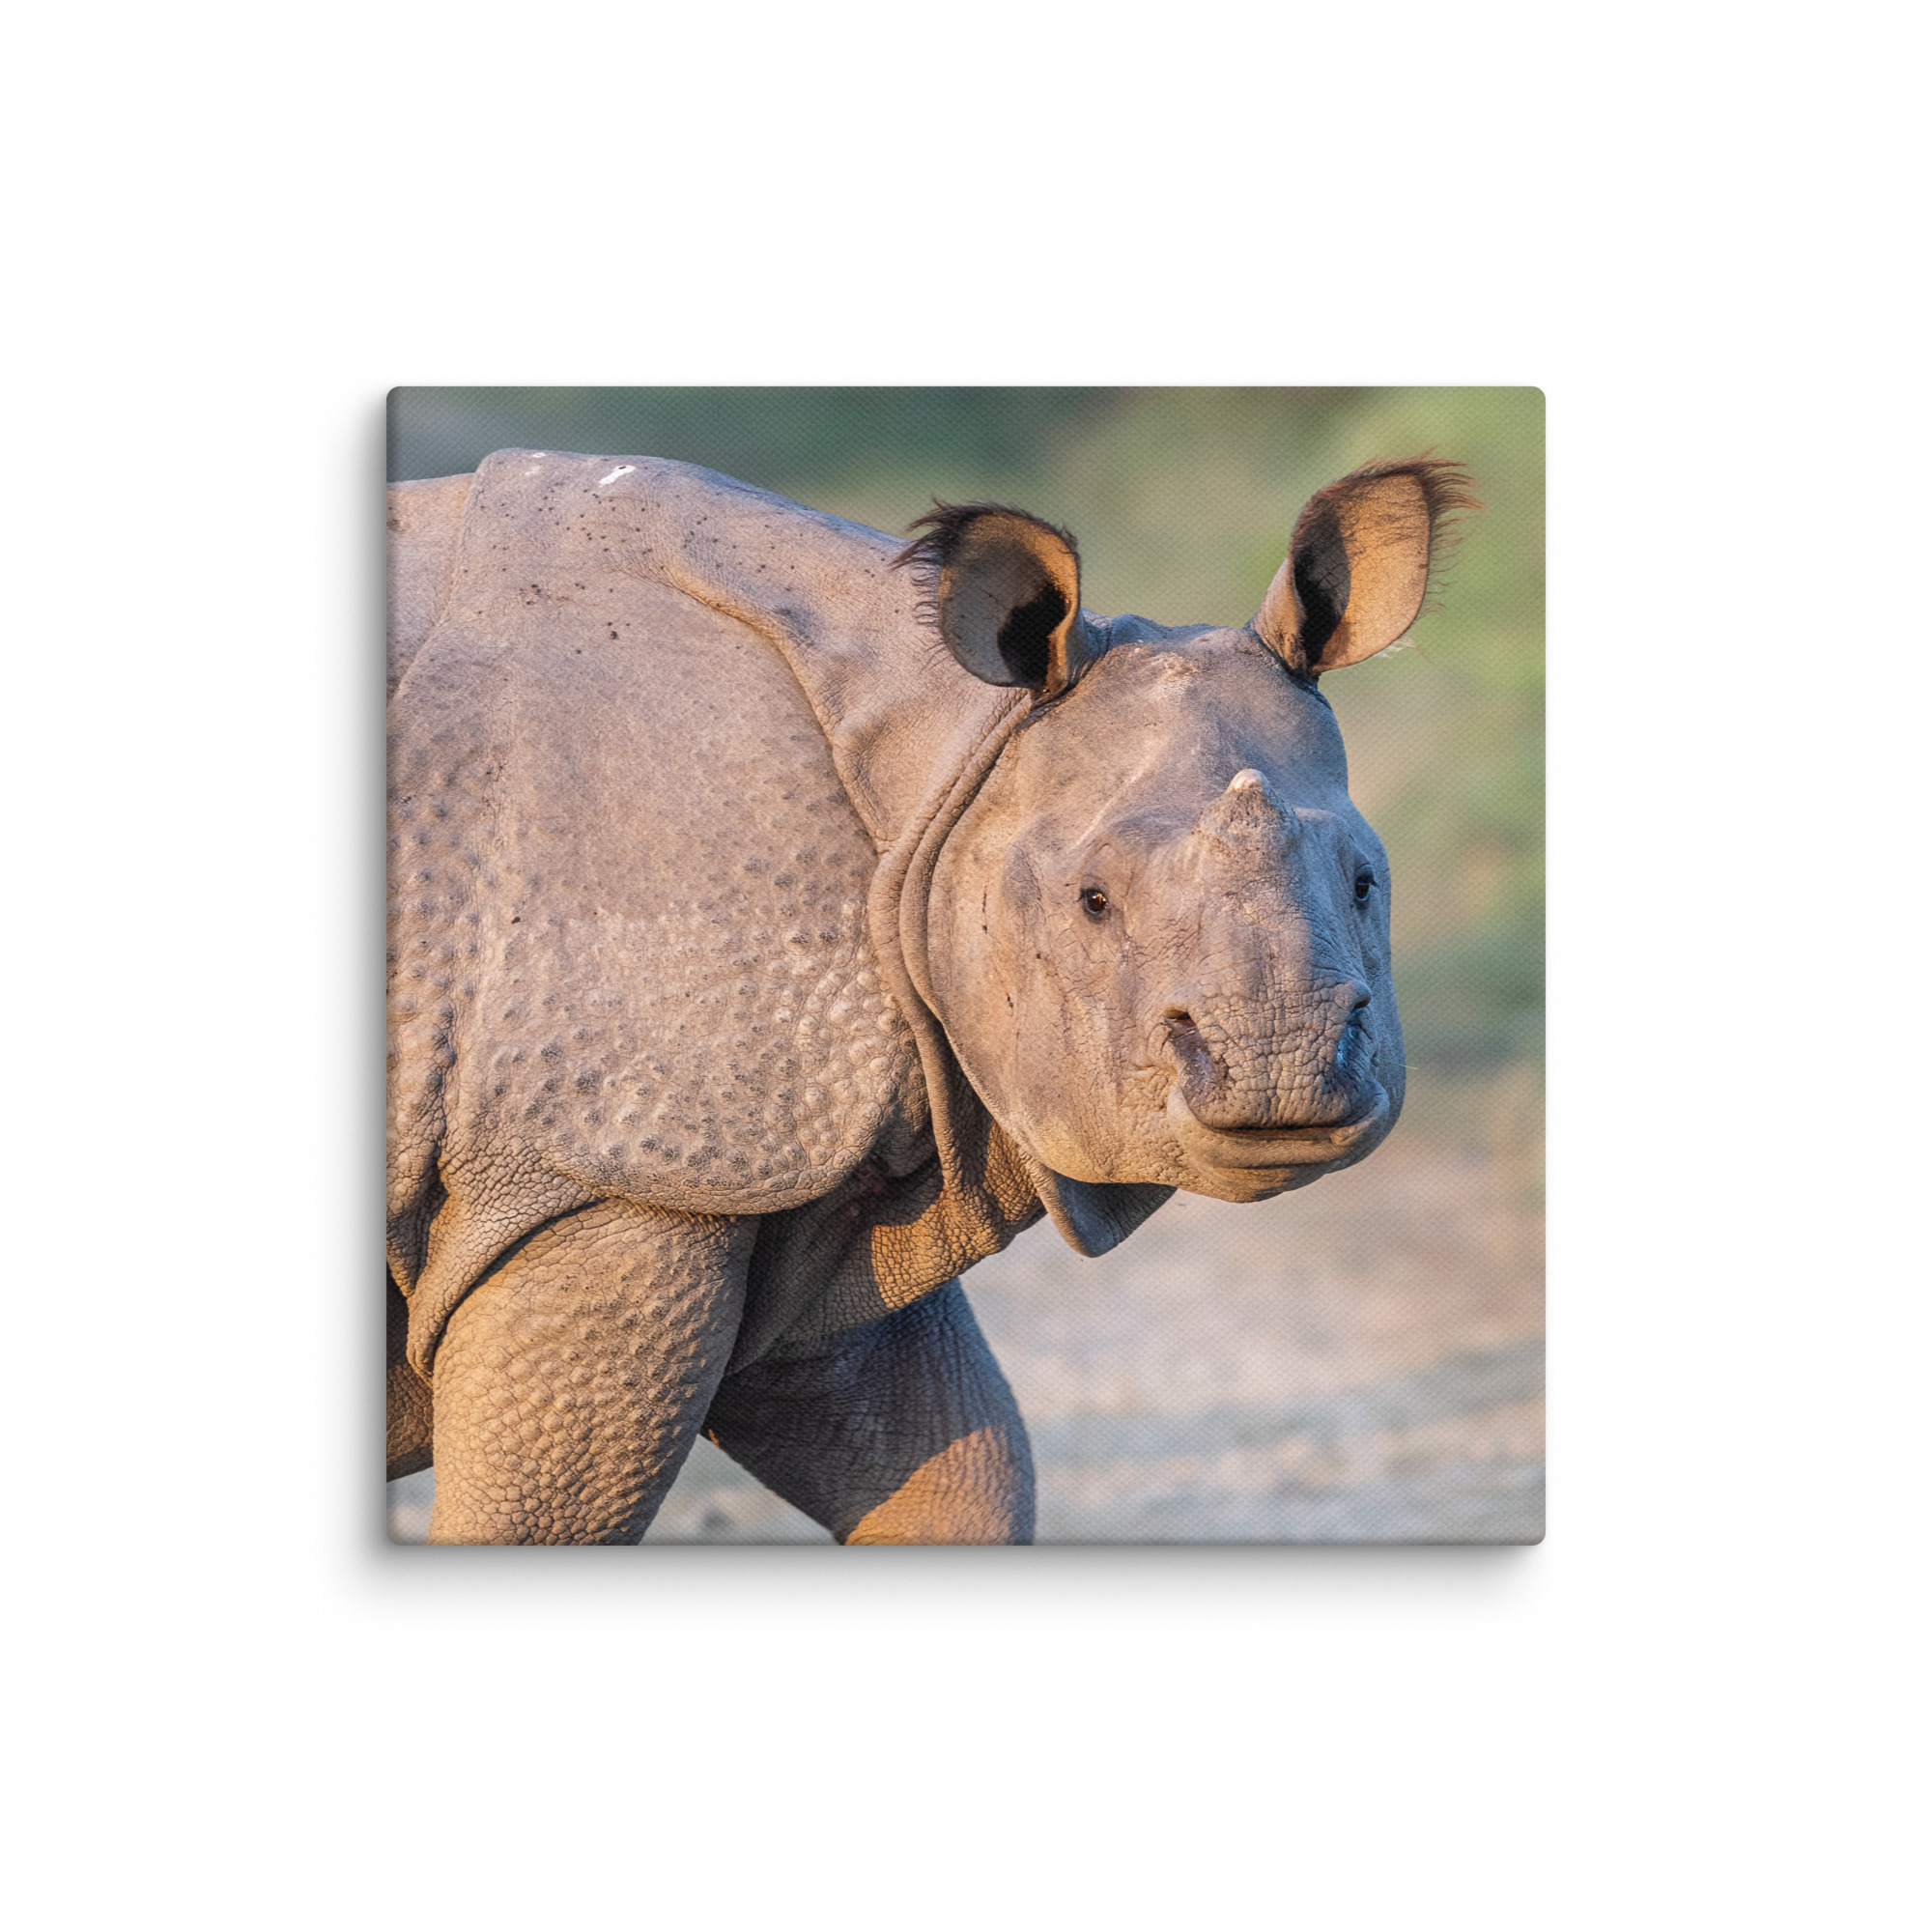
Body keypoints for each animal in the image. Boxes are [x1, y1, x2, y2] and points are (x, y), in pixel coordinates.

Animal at [386, 446, 1472, 1543]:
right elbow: (539, 1516)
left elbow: (961, 1466)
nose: (1281, 1068)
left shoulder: (795, 1184)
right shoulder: (615, 1166)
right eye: (1092, 902)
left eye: (1364, 884)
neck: (951, 759)